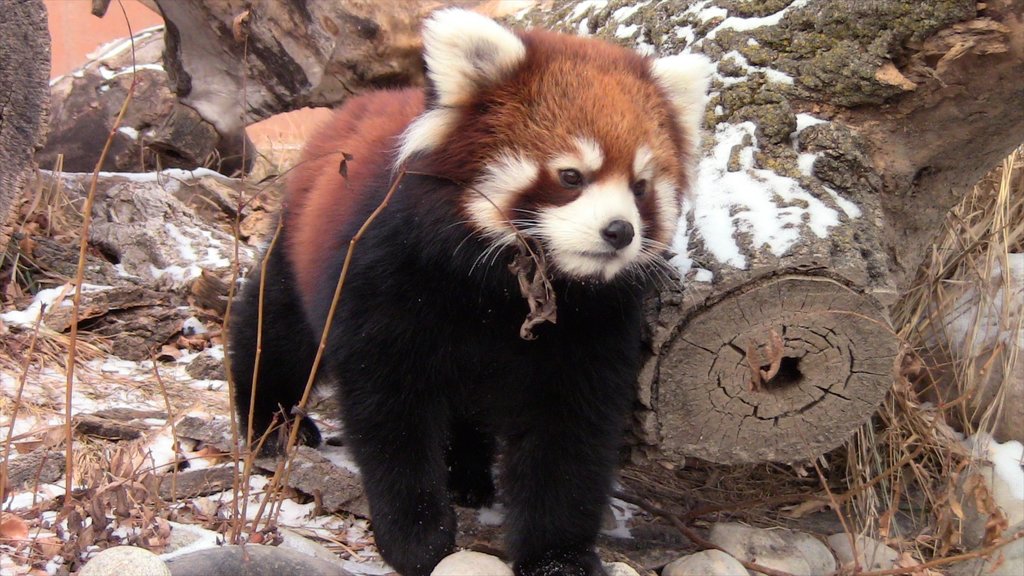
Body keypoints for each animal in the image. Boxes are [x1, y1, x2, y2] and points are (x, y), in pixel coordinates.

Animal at [230, 7, 712, 573]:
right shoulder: (388, 282)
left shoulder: (591, 327)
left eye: (640, 186)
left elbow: (567, 438)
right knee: (276, 327)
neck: (498, 292)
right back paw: (269, 423)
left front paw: (558, 555)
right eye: (571, 176)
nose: (620, 231)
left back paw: (468, 474)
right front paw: (415, 536)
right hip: (298, 244)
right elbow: (391, 416)